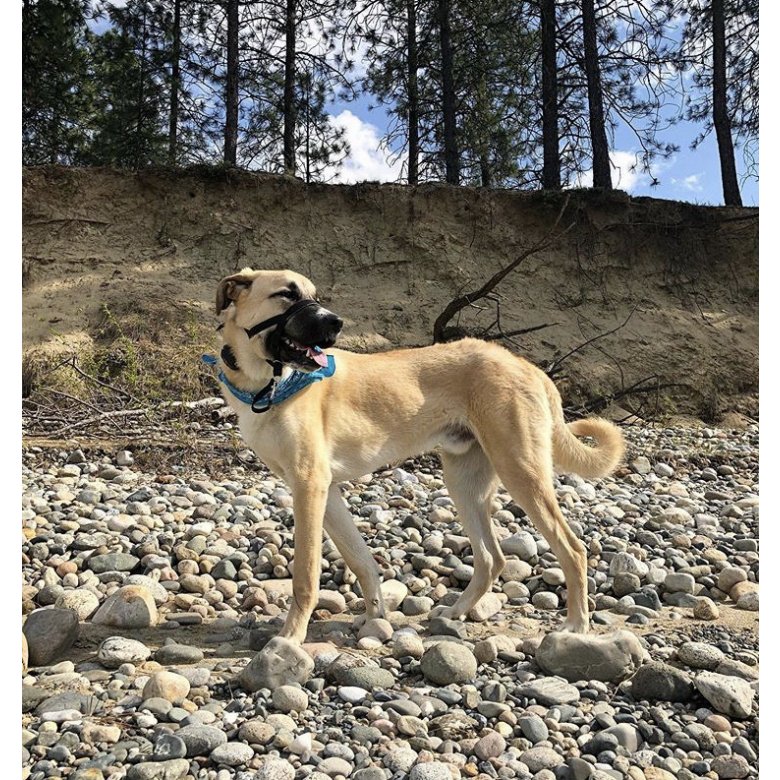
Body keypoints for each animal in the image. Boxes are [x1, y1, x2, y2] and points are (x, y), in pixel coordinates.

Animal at [212, 268, 620, 644]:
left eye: (314, 296)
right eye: (286, 294)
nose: (337, 323)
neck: (269, 384)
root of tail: (528, 366)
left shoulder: (310, 487)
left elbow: (306, 577)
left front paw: (292, 636)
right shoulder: (325, 492)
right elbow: (362, 561)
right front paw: (374, 616)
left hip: (522, 474)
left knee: (573, 549)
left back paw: (576, 625)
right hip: (464, 484)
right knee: (493, 558)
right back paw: (456, 611)